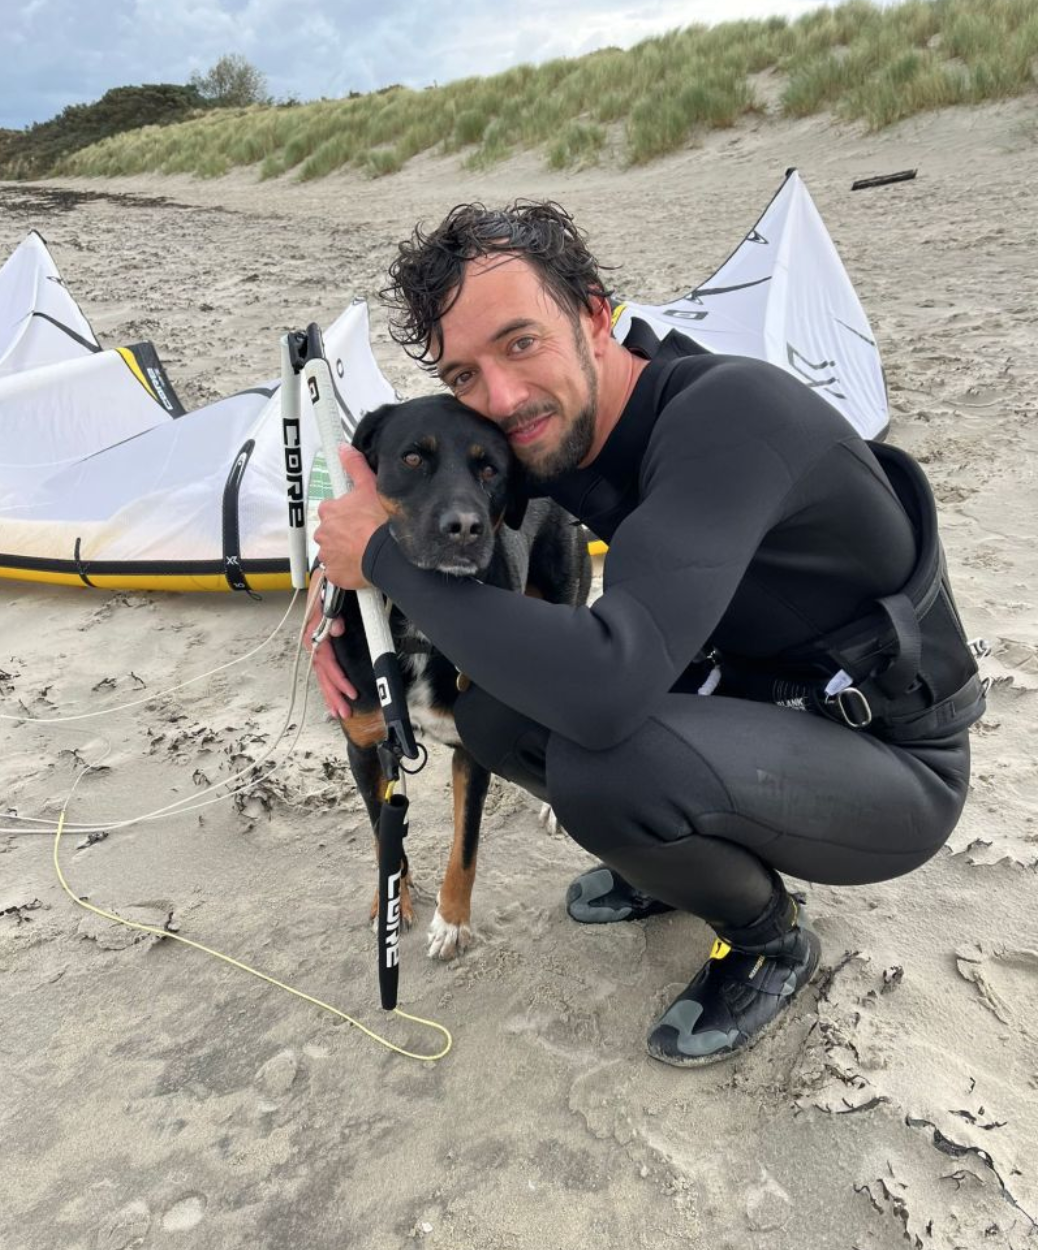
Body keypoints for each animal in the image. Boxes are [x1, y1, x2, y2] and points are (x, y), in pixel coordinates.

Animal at [329, 393, 591, 960]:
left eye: (489, 468)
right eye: (412, 458)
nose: (466, 528)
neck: (416, 624)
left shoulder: (471, 751)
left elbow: (465, 845)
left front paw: (451, 922)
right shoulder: (365, 747)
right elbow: (384, 835)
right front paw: (393, 903)